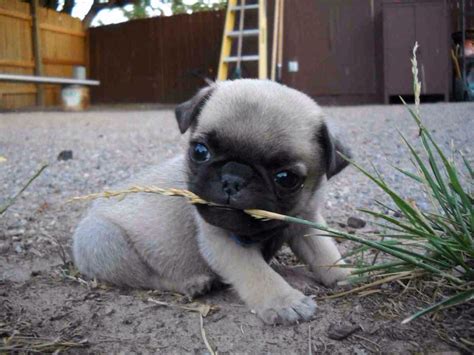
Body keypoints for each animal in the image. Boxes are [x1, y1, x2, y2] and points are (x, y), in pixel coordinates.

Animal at [72, 80, 350, 326]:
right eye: (199, 151)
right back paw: (193, 283)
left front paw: (346, 275)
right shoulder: (223, 242)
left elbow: (326, 252)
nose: (233, 179)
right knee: (146, 277)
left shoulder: (307, 222)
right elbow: (257, 272)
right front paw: (283, 300)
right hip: (105, 240)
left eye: (286, 178)